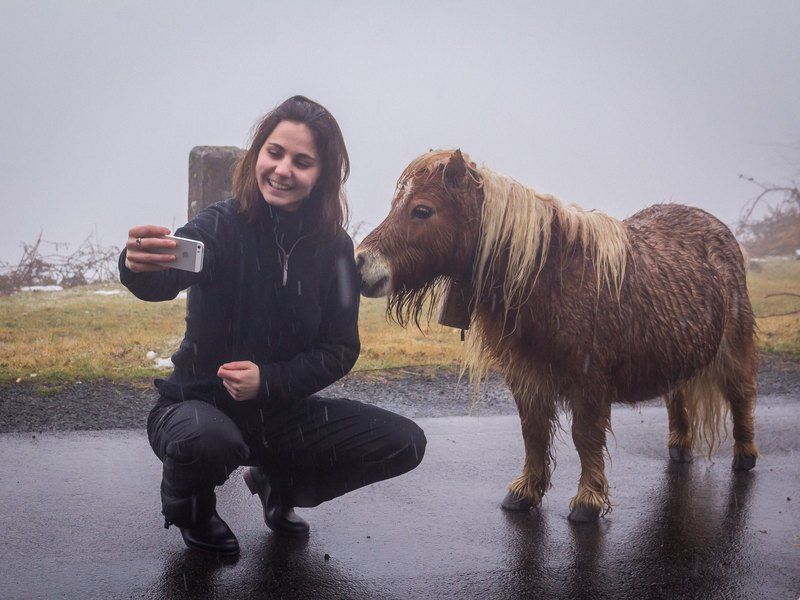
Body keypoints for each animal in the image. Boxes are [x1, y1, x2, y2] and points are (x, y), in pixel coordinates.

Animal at [354, 149, 756, 520]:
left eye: (422, 210)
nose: (360, 263)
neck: (551, 277)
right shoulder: (526, 376)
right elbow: (532, 433)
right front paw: (526, 492)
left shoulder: (590, 382)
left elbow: (585, 435)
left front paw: (588, 501)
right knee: (677, 395)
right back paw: (679, 447)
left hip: (733, 349)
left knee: (741, 397)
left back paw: (745, 456)